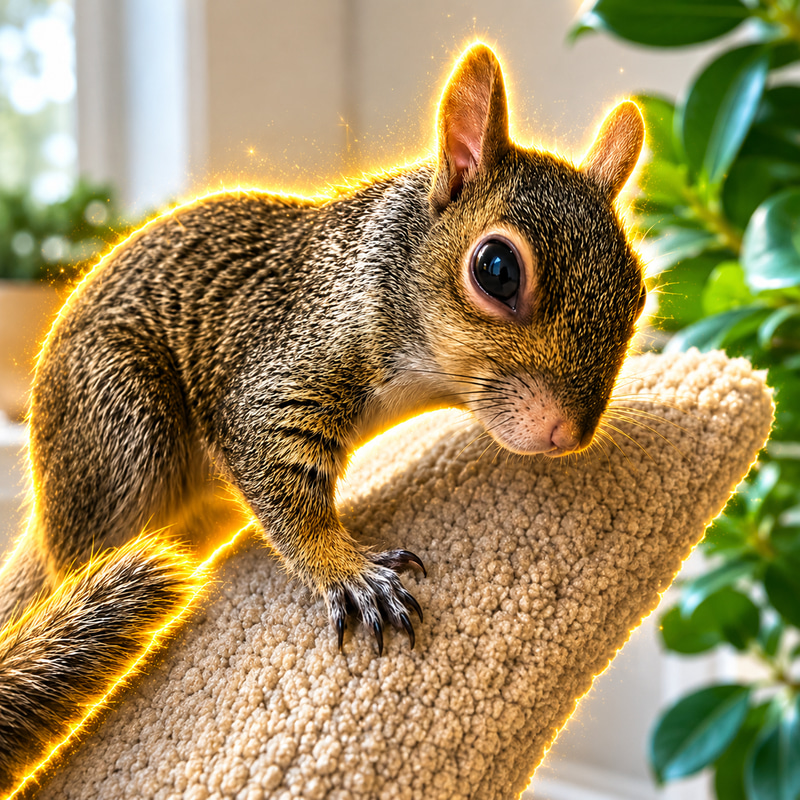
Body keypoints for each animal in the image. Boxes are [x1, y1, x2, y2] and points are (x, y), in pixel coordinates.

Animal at [0, 42, 645, 792]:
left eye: (637, 297)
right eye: (496, 269)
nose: (568, 433)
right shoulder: (279, 368)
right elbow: (281, 478)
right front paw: (351, 573)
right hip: (121, 427)